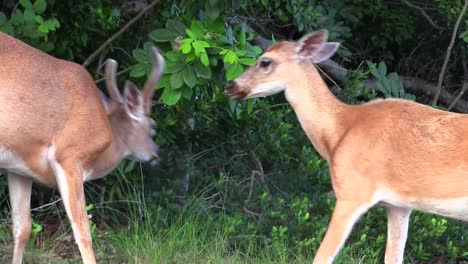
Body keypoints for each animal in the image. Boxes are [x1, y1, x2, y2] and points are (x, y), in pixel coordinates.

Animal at [0, 31, 165, 264]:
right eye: (153, 127)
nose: (157, 154)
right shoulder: (69, 155)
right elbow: (83, 231)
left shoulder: (20, 168)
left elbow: (22, 228)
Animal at [225, 29, 466, 264]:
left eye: (265, 61)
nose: (230, 86)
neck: (339, 133)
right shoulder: (399, 205)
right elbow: (393, 257)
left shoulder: (352, 191)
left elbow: (322, 257)